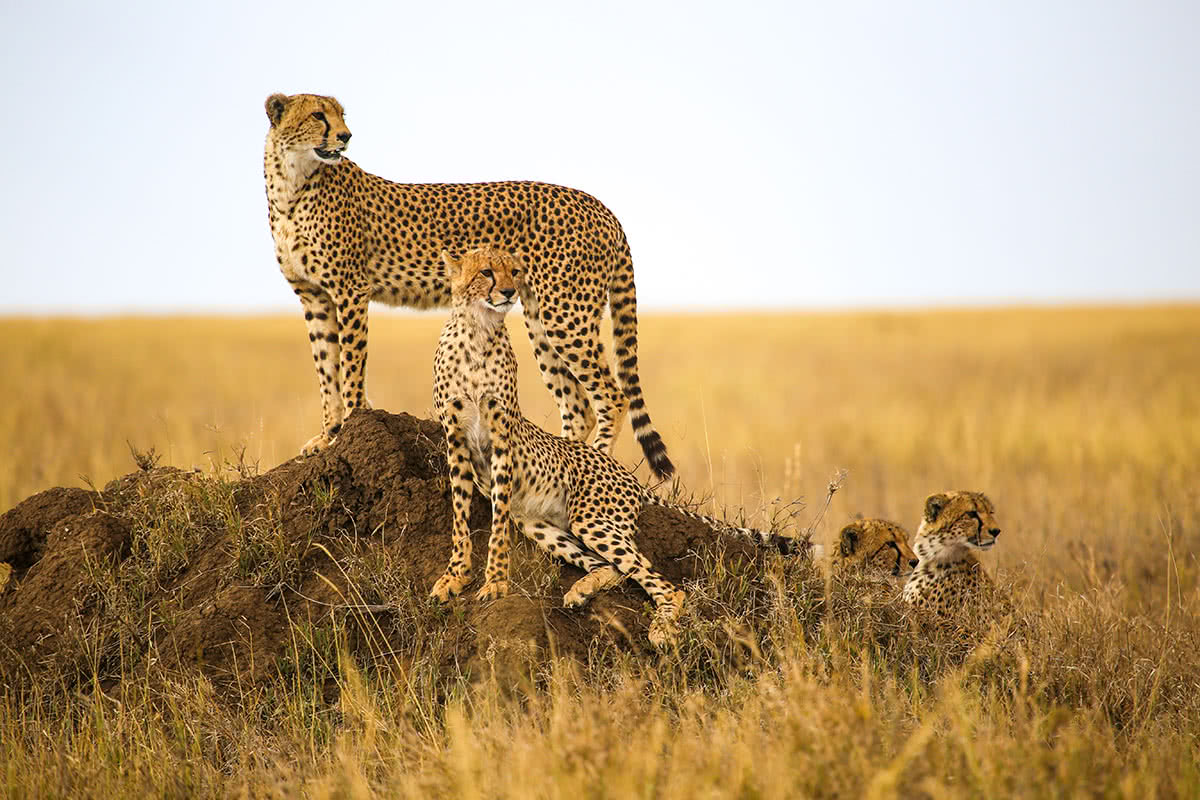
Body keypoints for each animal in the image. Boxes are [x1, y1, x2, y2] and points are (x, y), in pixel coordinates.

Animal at [265, 95, 676, 479]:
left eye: (340, 115)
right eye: (318, 115)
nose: (345, 136)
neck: (292, 184)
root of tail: (601, 207)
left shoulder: (350, 290)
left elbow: (350, 366)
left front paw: (349, 427)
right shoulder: (315, 297)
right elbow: (326, 369)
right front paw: (328, 436)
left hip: (566, 315)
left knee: (612, 397)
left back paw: (596, 463)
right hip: (542, 320)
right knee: (578, 407)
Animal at [432, 247, 796, 647]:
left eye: (514, 271)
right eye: (486, 272)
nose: (510, 292)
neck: (478, 330)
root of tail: (625, 473)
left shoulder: (501, 437)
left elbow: (496, 526)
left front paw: (495, 582)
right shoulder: (455, 439)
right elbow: (460, 515)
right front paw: (455, 576)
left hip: (592, 519)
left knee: (665, 584)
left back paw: (660, 628)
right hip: (539, 524)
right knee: (611, 566)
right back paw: (582, 590)